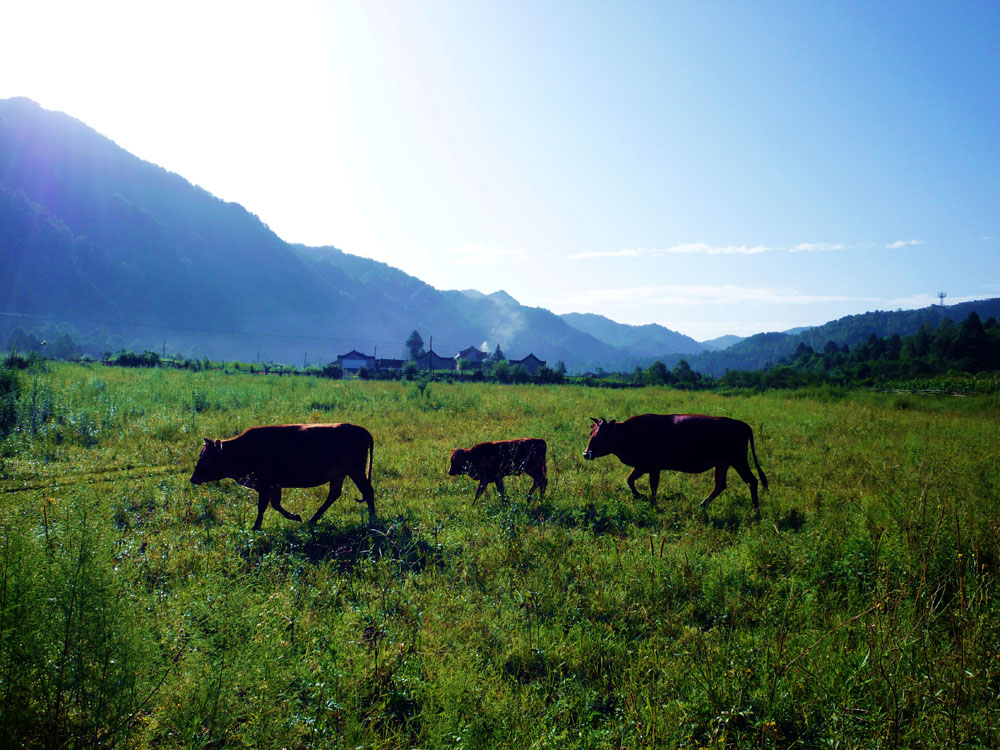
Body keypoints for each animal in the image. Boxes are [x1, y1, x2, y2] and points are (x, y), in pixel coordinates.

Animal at [188, 426, 376, 532]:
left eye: (206, 456)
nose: (193, 478)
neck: (244, 448)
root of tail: (363, 431)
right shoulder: (274, 485)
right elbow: (276, 504)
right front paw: (296, 516)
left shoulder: (265, 483)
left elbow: (263, 506)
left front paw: (256, 527)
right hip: (340, 475)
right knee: (334, 494)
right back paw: (312, 520)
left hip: (355, 471)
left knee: (367, 491)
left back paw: (372, 521)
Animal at [584, 414, 768, 516]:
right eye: (591, 432)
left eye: (601, 435)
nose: (586, 453)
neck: (628, 433)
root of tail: (742, 424)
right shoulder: (645, 466)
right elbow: (630, 480)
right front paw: (643, 498)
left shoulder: (651, 466)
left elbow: (651, 485)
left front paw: (648, 500)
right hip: (722, 464)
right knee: (720, 485)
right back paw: (701, 505)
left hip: (739, 461)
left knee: (752, 481)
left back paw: (756, 511)